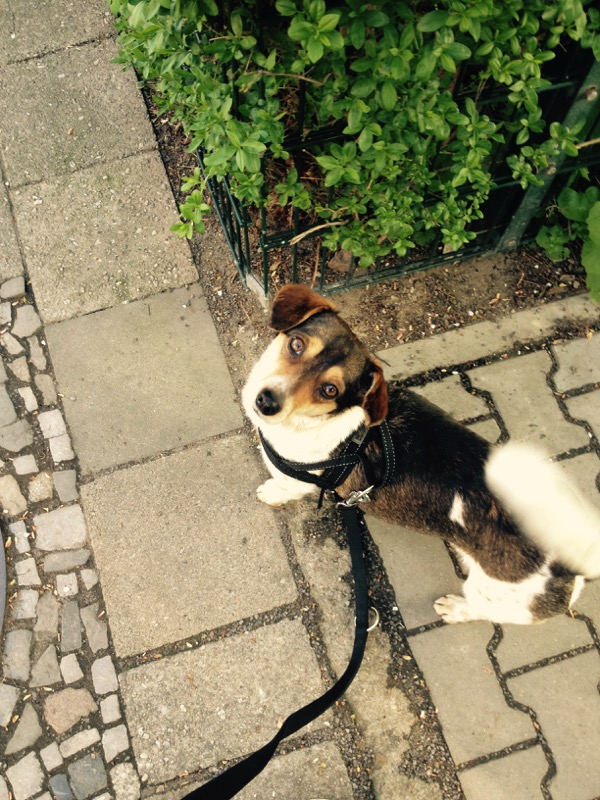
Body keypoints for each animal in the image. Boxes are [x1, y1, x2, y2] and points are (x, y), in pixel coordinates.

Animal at [242, 284, 600, 625]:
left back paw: (456, 609)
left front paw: (271, 492)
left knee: (482, 609)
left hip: (493, 595)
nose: (266, 401)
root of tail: (576, 563)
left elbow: (285, 487)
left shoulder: (300, 481)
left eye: (330, 390)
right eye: (296, 345)